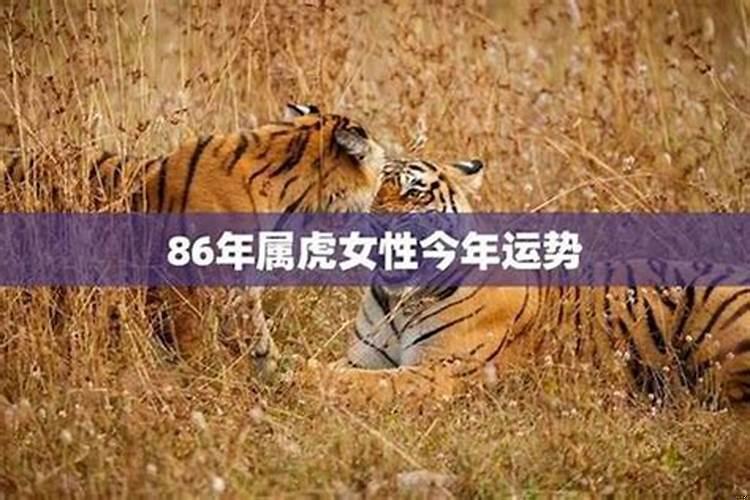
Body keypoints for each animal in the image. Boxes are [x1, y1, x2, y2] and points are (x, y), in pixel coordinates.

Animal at [306, 157, 750, 407]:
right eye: (373, 192)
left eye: (414, 193)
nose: (373, 224)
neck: (400, 301)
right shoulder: (365, 358)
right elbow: (344, 371)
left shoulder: (440, 371)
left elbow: (353, 382)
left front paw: (296, 376)